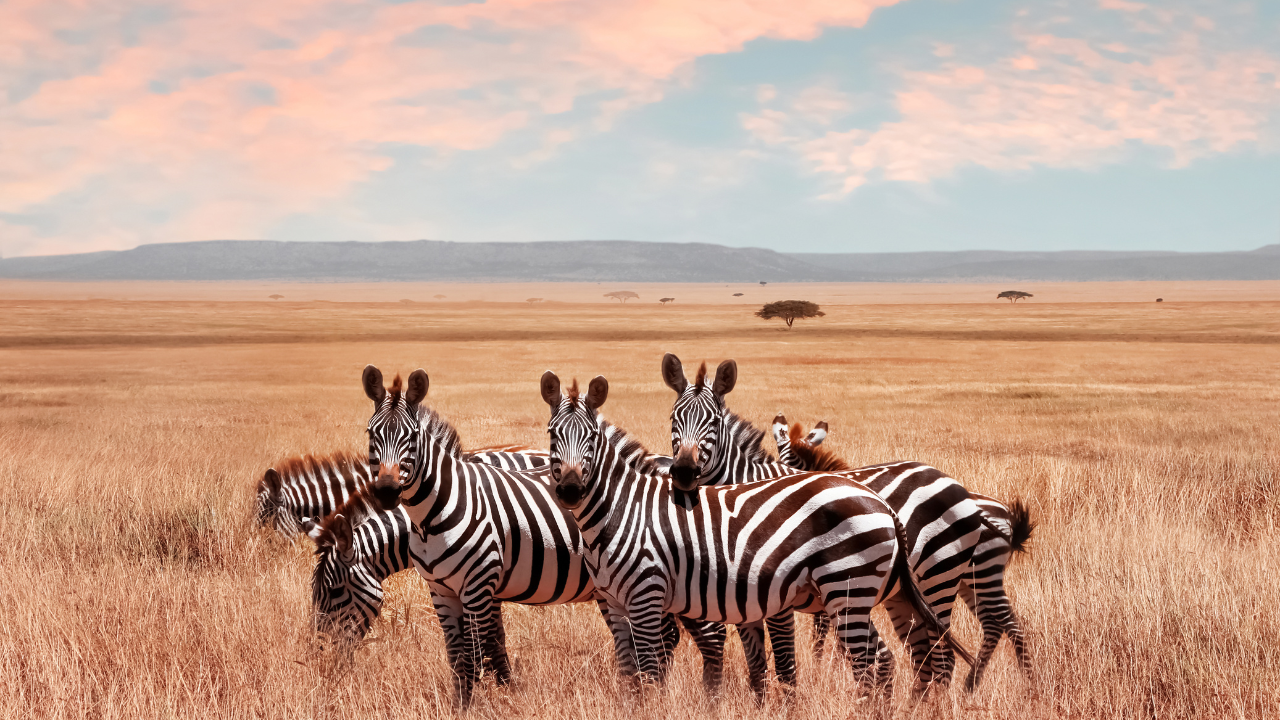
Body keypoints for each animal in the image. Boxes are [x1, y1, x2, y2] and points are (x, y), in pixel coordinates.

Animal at [355, 366, 727, 702]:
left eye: (410, 437)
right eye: (371, 435)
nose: (386, 492)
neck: (436, 511)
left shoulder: (479, 584)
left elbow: (477, 653)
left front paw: (485, 703)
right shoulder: (443, 591)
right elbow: (461, 657)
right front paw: (470, 702)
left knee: (707, 634)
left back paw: (709, 698)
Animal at [537, 368, 967, 702]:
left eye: (591, 438)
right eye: (552, 434)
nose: (570, 491)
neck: (622, 509)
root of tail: (882, 504)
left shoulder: (648, 596)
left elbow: (651, 675)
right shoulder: (616, 602)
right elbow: (633, 673)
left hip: (859, 587)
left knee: (880, 661)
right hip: (873, 595)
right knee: (896, 658)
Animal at [660, 353, 988, 691]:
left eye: (714, 422)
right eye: (673, 419)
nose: (683, 471)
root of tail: (951, 482)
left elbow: (785, 659)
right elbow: (757, 660)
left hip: (938, 577)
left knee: (942, 656)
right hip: (905, 591)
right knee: (922, 654)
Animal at [768, 417, 1039, 686]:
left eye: (793, 464)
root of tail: (996, 510)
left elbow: (824, 629)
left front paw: (825, 667)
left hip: (977, 574)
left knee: (1007, 624)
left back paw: (1027, 683)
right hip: (967, 579)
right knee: (994, 623)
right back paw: (974, 685)